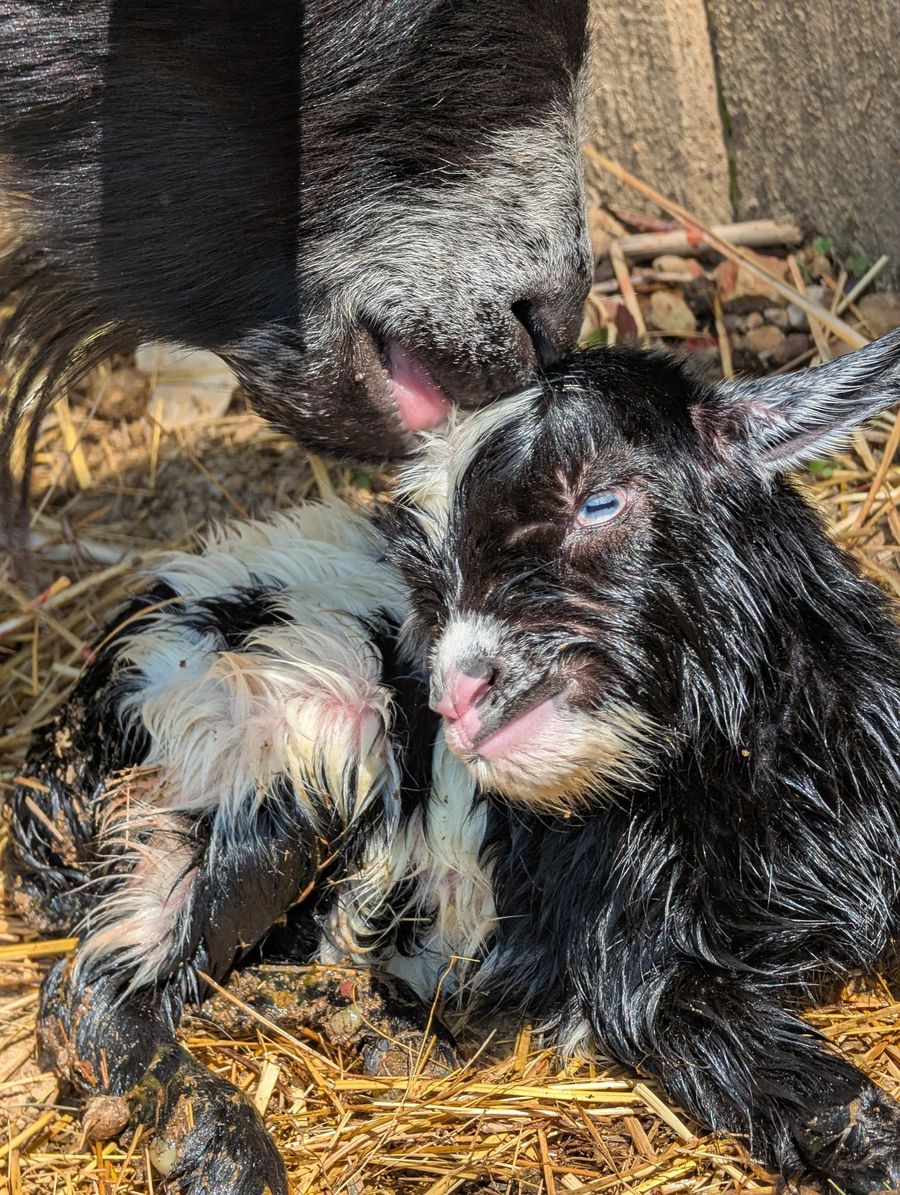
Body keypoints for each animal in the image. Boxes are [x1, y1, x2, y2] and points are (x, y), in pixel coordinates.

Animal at [7, 331, 900, 1192]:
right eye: (432, 578)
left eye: (600, 501)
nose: (459, 693)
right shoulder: (636, 965)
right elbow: (795, 1080)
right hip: (272, 738)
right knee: (96, 984)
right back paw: (229, 1151)